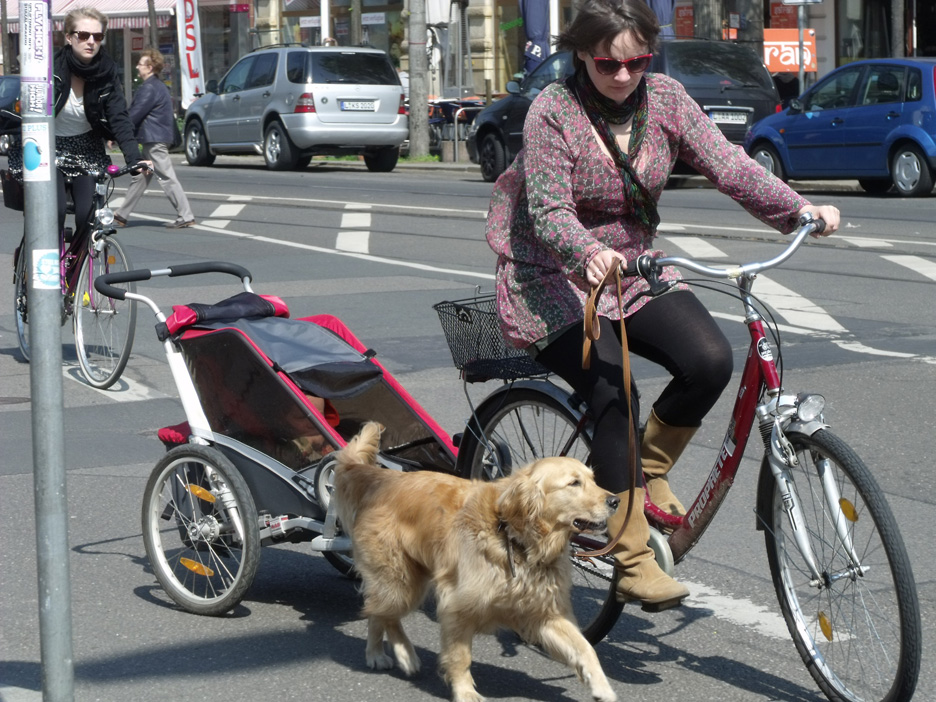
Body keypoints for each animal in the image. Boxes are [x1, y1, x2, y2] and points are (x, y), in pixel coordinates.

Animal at [334, 424, 620, 702]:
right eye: (574, 483)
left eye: (593, 479)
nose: (616, 500)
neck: (514, 537)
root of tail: (380, 478)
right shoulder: (457, 606)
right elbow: (460, 657)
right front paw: (465, 692)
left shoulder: (544, 612)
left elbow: (585, 648)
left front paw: (602, 688)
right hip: (401, 582)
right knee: (380, 611)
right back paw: (391, 654)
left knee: (379, 610)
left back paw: (390, 654)